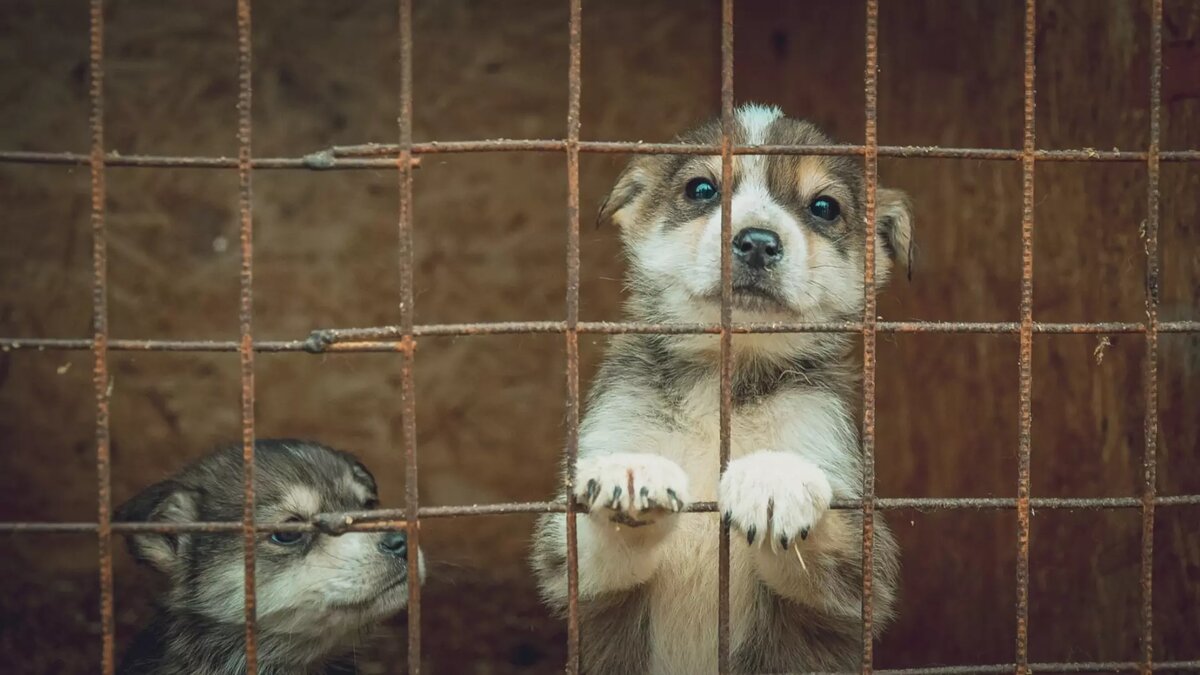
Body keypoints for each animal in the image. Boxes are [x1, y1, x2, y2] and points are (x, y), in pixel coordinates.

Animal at [535, 105, 907, 672]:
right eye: (702, 189)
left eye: (824, 207)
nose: (756, 242)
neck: (719, 385)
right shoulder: (571, 563)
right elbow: (595, 544)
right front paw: (631, 473)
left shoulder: (861, 572)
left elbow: (826, 534)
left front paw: (773, 478)